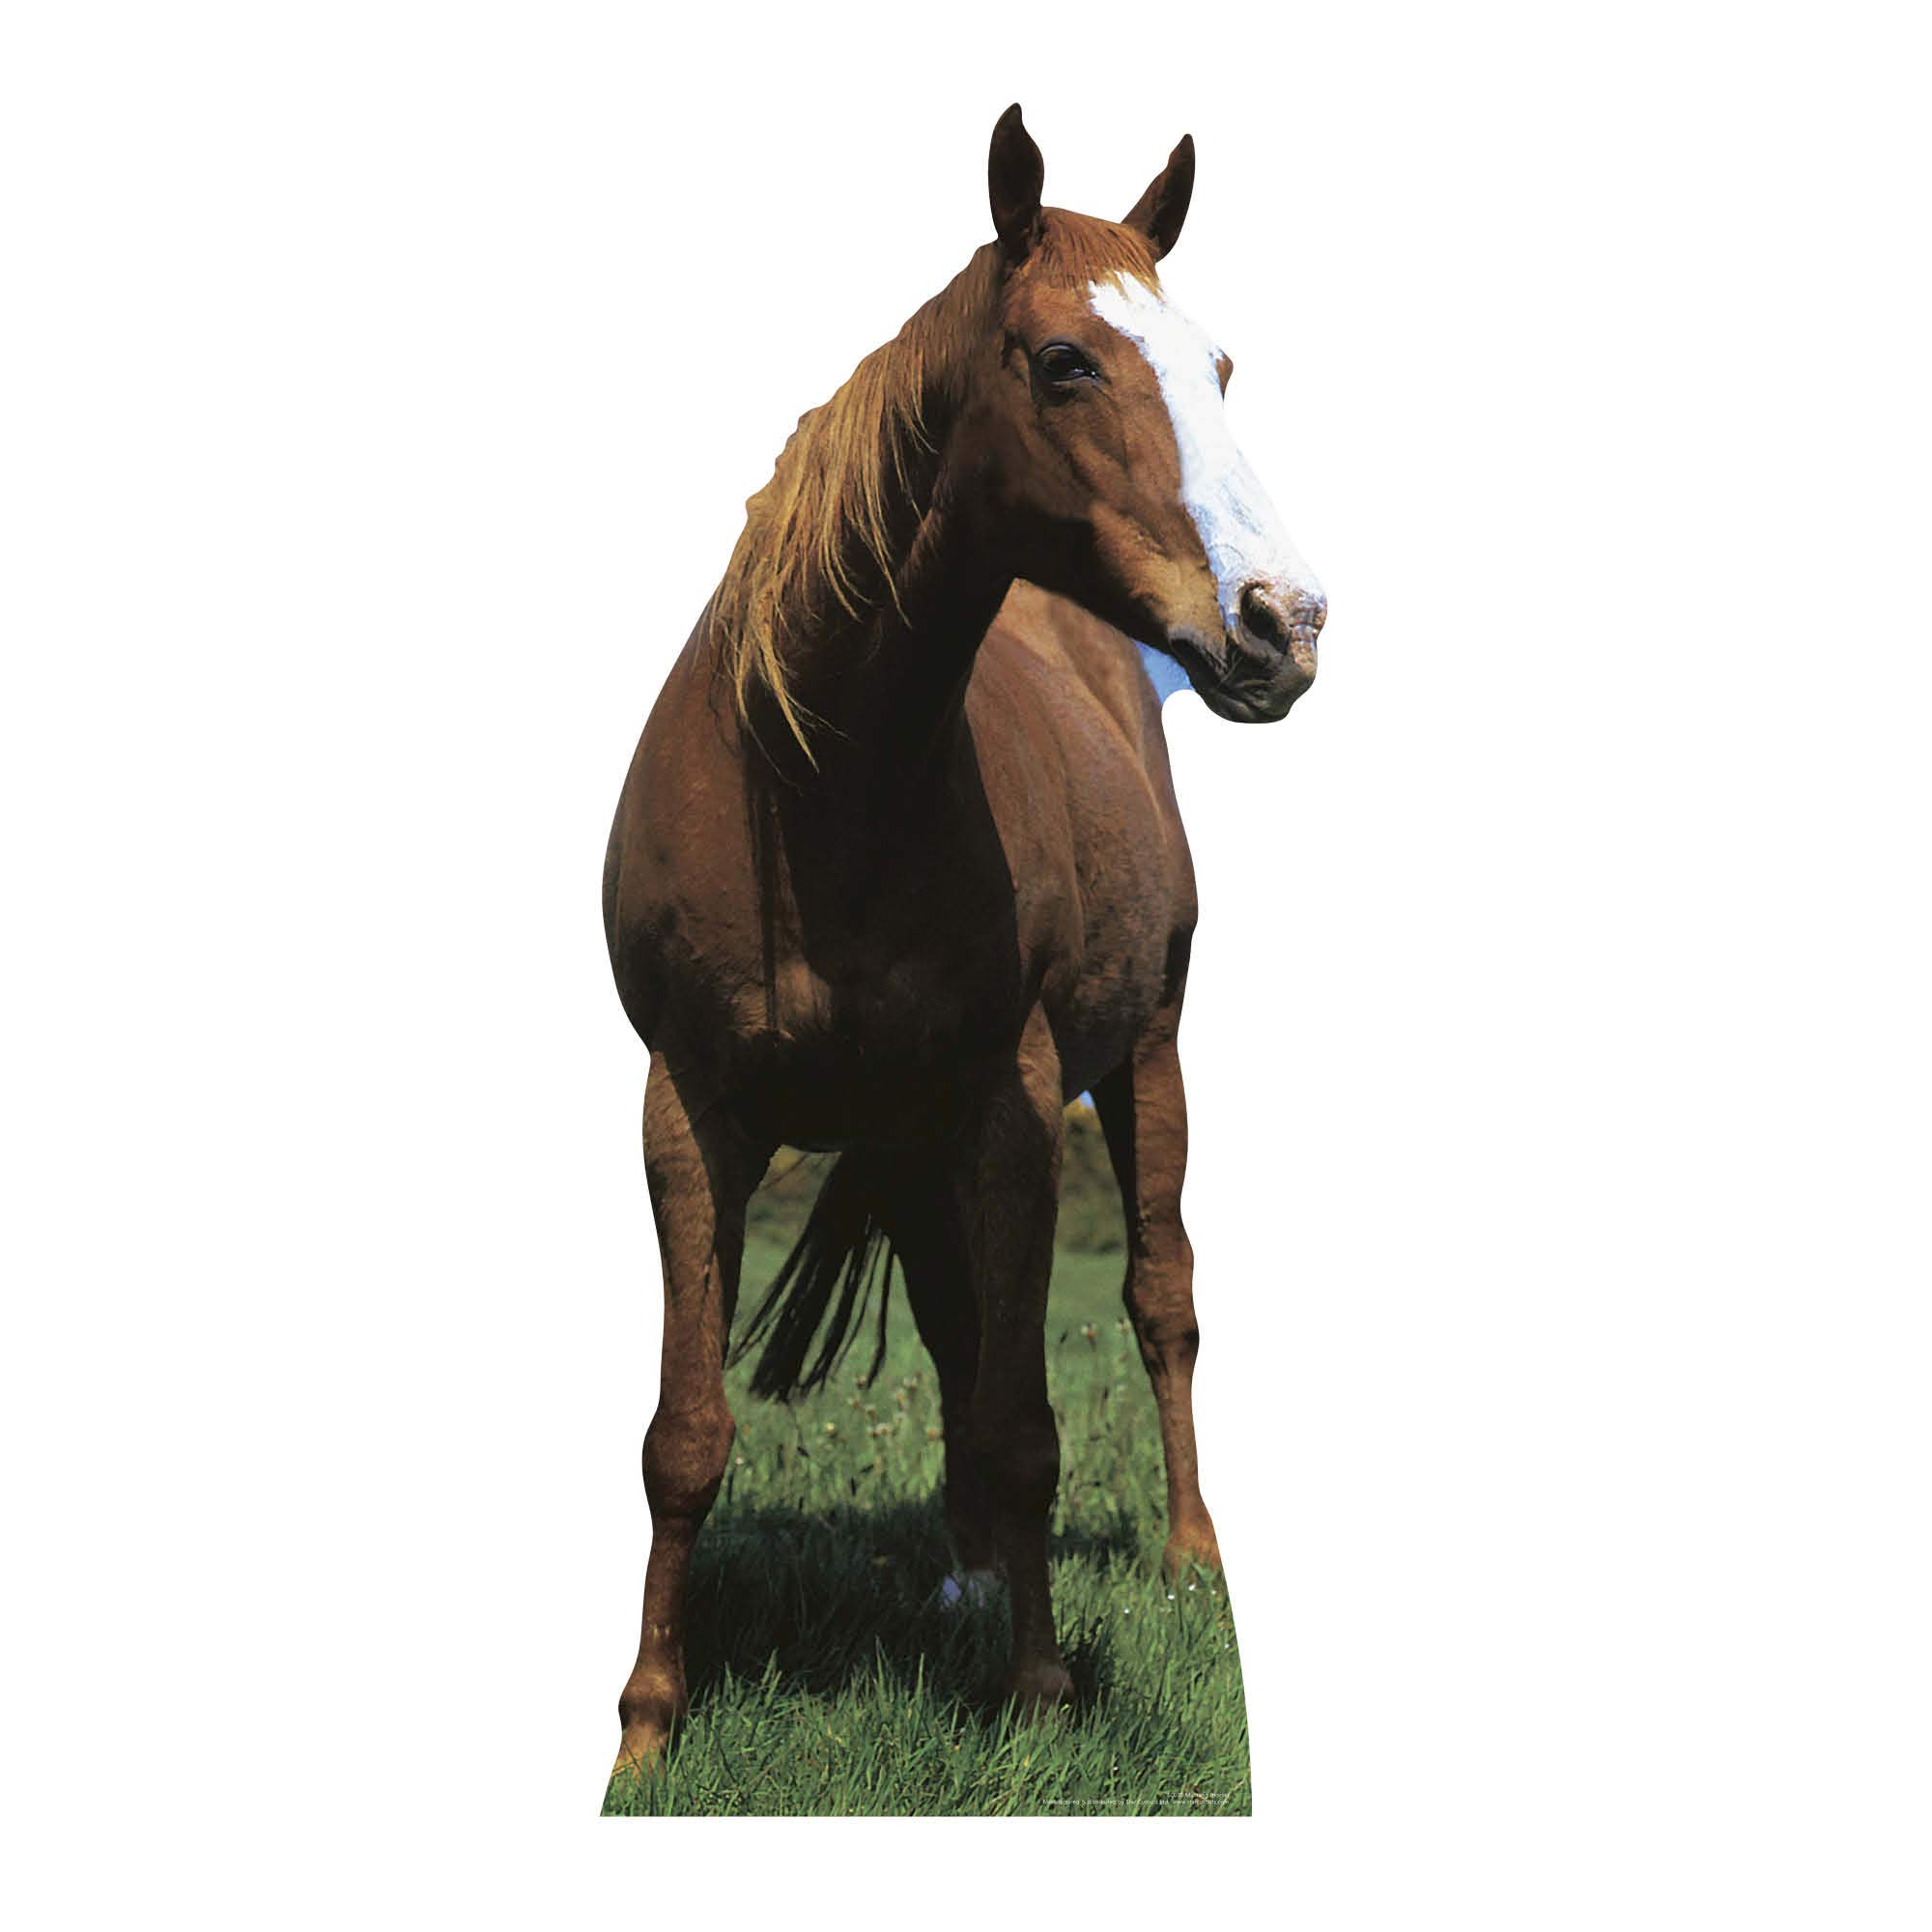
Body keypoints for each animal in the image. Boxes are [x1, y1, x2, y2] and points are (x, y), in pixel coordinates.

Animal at [602, 104, 1326, 1772]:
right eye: (1064, 361)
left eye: (1220, 366)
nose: (1285, 623)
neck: (817, 782)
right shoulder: (689, 1112)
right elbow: (687, 1434)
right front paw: (647, 1725)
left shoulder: (1015, 1098)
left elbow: (1024, 1417)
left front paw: (1041, 1690)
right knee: (949, 1322)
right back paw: (968, 1576)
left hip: (1142, 1059)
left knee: (1161, 1301)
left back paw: (1185, 1558)